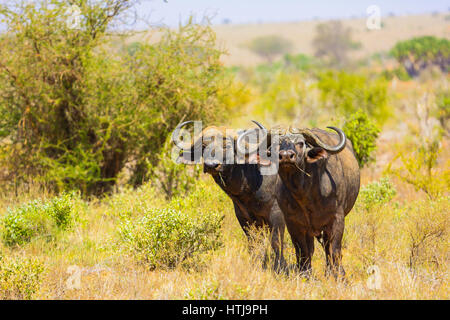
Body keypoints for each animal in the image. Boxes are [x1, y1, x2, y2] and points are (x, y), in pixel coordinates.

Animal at [174, 121, 286, 272]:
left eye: (226, 146)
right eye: (203, 146)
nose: (211, 165)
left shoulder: (277, 215)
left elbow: (276, 243)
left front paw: (280, 268)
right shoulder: (245, 218)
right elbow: (254, 244)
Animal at [237, 124, 360, 276]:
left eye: (300, 143)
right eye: (276, 144)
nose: (286, 156)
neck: (307, 195)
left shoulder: (337, 219)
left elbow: (335, 249)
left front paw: (340, 275)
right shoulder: (293, 223)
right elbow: (302, 251)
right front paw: (305, 274)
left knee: (327, 248)